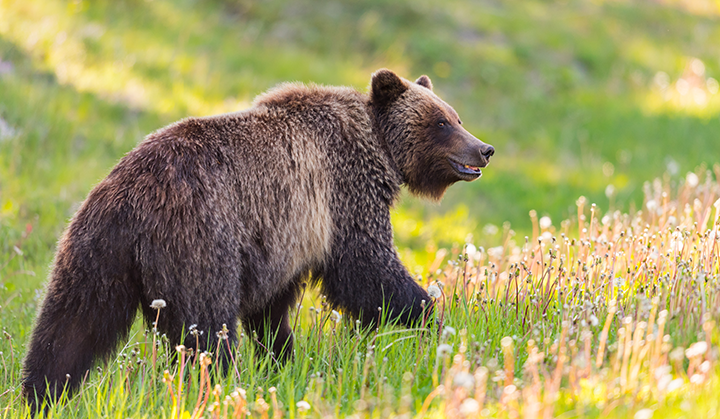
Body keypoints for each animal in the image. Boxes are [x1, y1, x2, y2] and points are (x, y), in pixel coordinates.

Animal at [22, 69, 494, 411]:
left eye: (457, 118)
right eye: (441, 122)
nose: (484, 149)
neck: (378, 149)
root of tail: (131, 195)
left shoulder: (280, 239)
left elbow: (272, 311)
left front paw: (282, 360)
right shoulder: (341, 196)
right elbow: (367, 269)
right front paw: (428, 315)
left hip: (96, 251)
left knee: (69, 328)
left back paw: (39, 395)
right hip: (200, 240)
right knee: (207, 330)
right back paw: (213, 391)